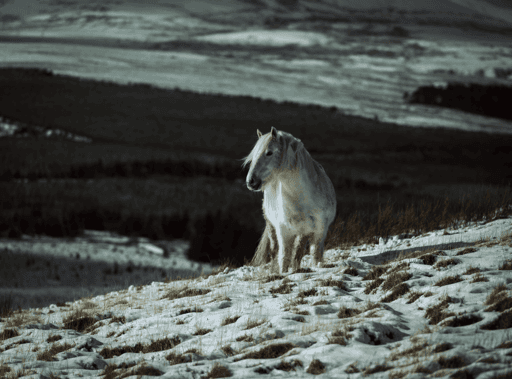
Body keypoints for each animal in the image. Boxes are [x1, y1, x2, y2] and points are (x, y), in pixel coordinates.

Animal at [243, 127, 338, 274]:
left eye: (269, 152)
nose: (251, 181)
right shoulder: (284, 232)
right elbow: (284, 256)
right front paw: (283, 272)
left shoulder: (320, 231)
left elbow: (315, 254)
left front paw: (316, 267)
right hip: (272, 226)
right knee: (275, 250)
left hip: (303, 232)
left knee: (298, 251)